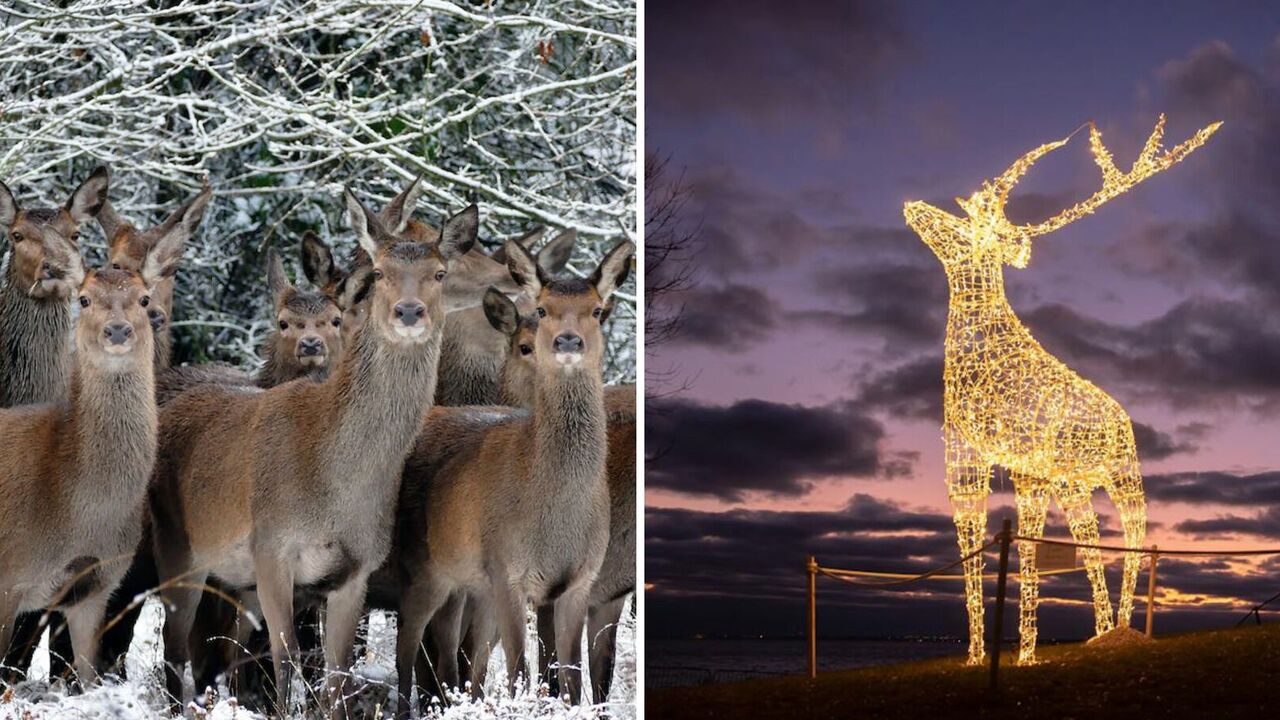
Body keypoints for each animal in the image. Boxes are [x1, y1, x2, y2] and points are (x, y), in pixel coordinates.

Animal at [0, 231, 183, 687]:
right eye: (83, 298)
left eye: (143, 298)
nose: (116, 330)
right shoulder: (8, 578)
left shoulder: (98, 588)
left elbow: (87, 676)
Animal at [149, 180, 475, 718]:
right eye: (380, 272)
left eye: (440, 274)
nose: (409, 312)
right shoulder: (271, 548)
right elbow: (287, 661)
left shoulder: (353, 571)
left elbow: (336, 675)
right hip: (179, 546)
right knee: (174, 643)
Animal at [903, 115, 1219, 665]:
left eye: (979, 227)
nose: (915, 206)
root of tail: (1123, 420)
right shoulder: (968, 455)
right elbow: (975, 544)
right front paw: (979, 654)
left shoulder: (1026, 465)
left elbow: (1026, 545)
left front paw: (1025, 655)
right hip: (1074, 481)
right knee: (1091, 541)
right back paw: (1102, 632)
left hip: (1122, 473)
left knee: (1135, 536)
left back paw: (1122, 632)